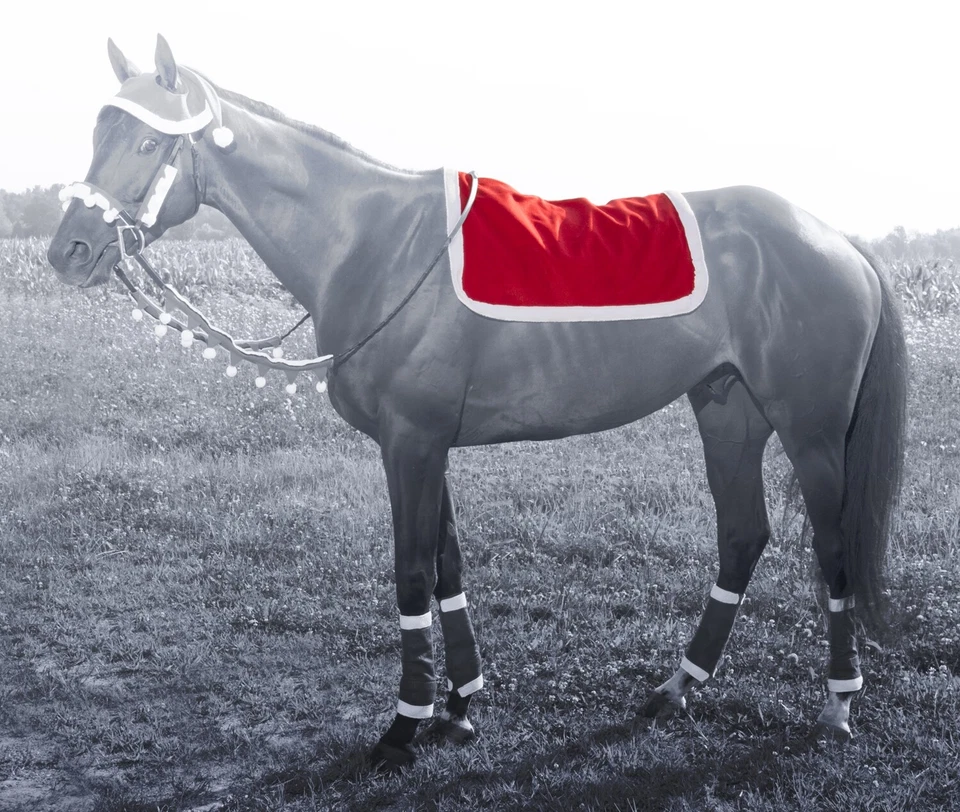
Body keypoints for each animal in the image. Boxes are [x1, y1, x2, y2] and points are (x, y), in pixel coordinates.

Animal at [47, 35, 907, 768]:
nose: (69, 251)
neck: (375, 245)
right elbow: (447, 567)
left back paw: (837, 705)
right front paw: (460, 708)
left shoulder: (412, 442)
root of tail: (836, 237)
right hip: (728, 411)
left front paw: (405, 726)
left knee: (831, 547)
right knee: (742, 537)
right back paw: (678, 686)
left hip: (811, 433)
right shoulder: (428, 443)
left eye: (149, 143)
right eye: (99, 133)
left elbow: (410, 574)